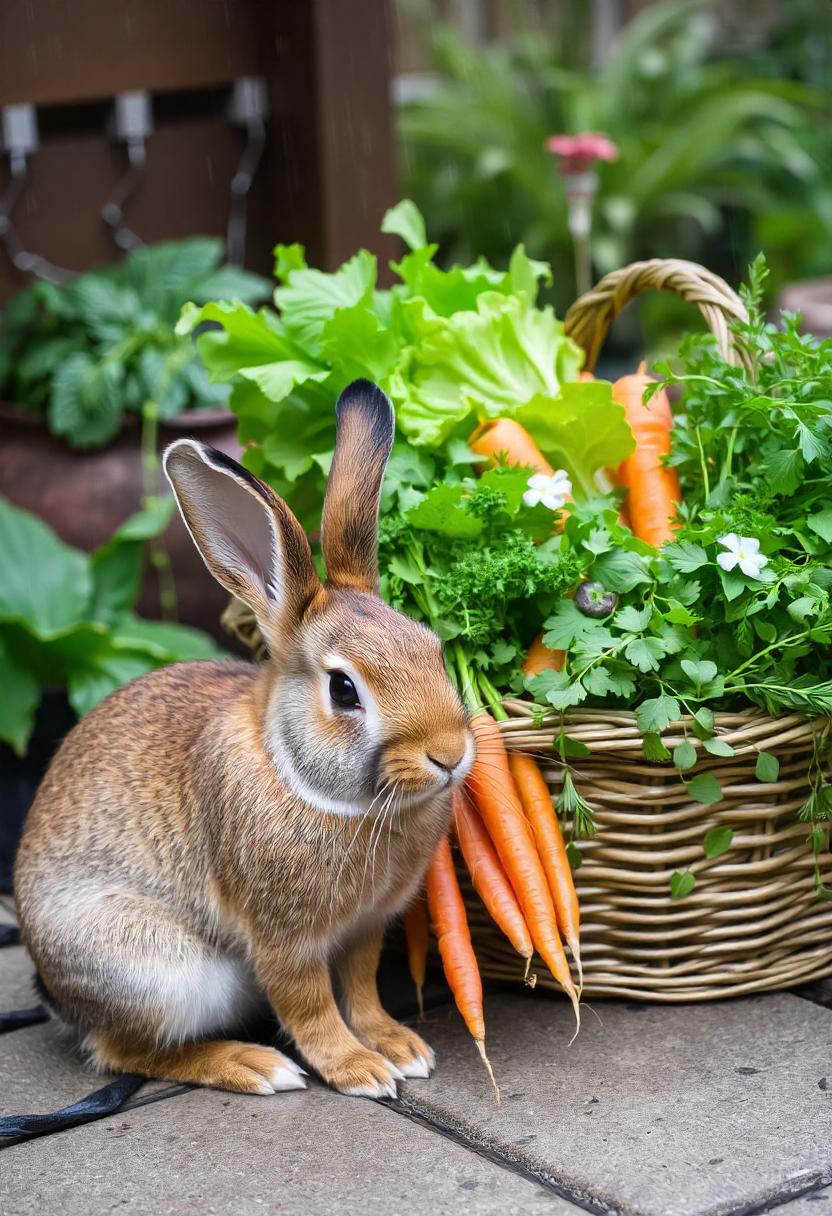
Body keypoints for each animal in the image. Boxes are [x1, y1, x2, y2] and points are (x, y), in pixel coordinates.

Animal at [14, 379, 474, 1100]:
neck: (301, 779)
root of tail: (55, 992)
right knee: (118, 1050)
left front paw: (400, 1047)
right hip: (160, 972)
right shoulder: (282, 939)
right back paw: (255, 1067)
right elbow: (311, 1005)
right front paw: (360, 1069)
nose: (449, 756)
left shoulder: (365, 929)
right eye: (345, 690)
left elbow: (362, 988)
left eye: (432, 648)